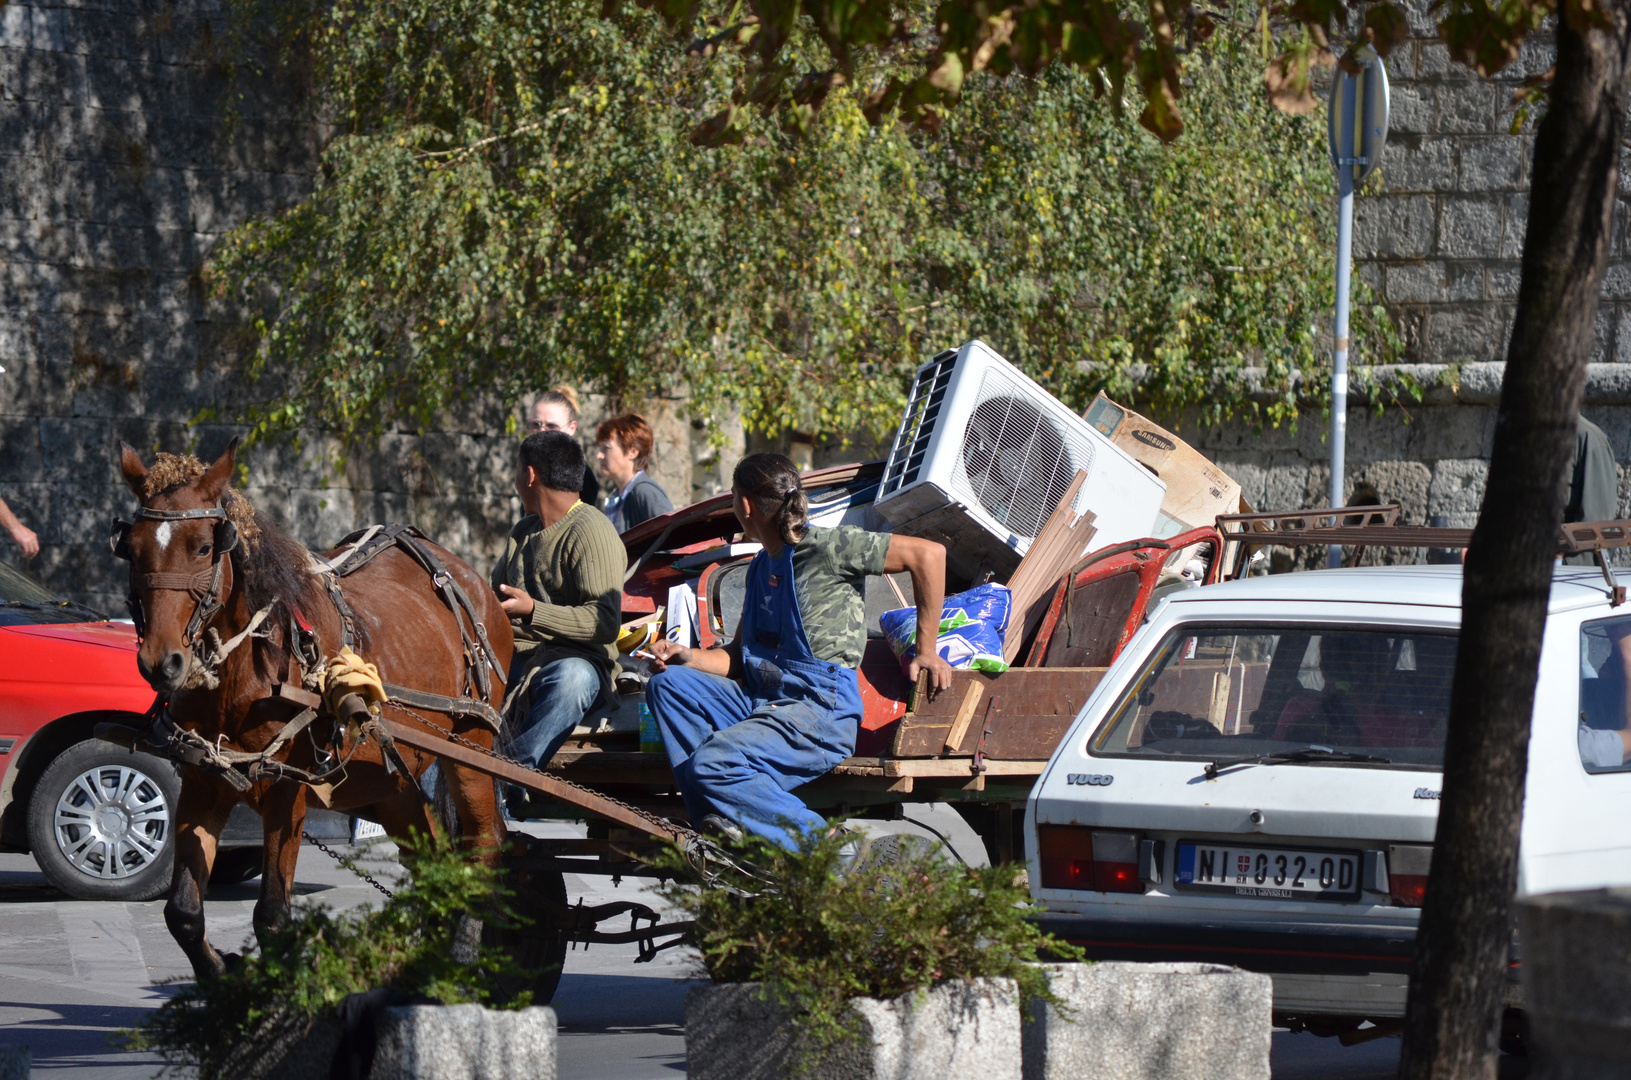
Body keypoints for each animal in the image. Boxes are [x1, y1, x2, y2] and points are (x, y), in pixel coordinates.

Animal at [116, 440, 508, 978]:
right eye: (130, 548)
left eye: (202, 547)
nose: (162, 662)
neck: (247, 672)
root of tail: (470, 578)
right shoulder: (203, 782)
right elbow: (183, 913)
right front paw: (220, 973)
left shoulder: (287, 791)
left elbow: (272, 917)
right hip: (391, 781)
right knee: (433, 857)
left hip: (472, 748)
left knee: (483, 843)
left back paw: (464, 953)